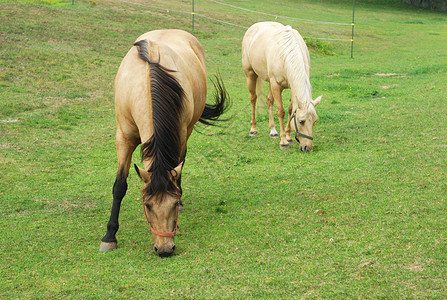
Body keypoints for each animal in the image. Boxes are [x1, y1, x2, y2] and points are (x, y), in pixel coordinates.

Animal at [99, 29, 229, 256]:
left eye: (173, 204)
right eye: (147, 205)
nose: (165, 248)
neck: (146, 82)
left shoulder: (179, 133)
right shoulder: (124, 138)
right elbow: (119, 185)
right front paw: (109, 237)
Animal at [242, 21, 322, 151]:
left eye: (314, 121)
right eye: (301, 121)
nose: (307, 147)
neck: (287, 54)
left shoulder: (291, 87)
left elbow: (290, 110)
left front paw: (289, 137)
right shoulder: (276, 85)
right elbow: (281, 112)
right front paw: (283, 141)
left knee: (269, 100)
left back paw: (273, 131)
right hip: (250, 75)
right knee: (253, 99)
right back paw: (253, 129)